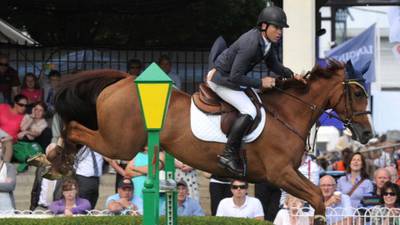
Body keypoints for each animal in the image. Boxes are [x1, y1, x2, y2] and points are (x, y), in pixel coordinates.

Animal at [46, 59, 372, 224]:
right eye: (357, 93)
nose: (367, 134)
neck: (287, 114)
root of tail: (125, 80)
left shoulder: (283, 176)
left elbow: (311, 198)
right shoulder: (280, 173)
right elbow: (317, 196)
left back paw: (55, 160)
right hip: (120, 143)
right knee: (74, 128)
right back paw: (56, 159)